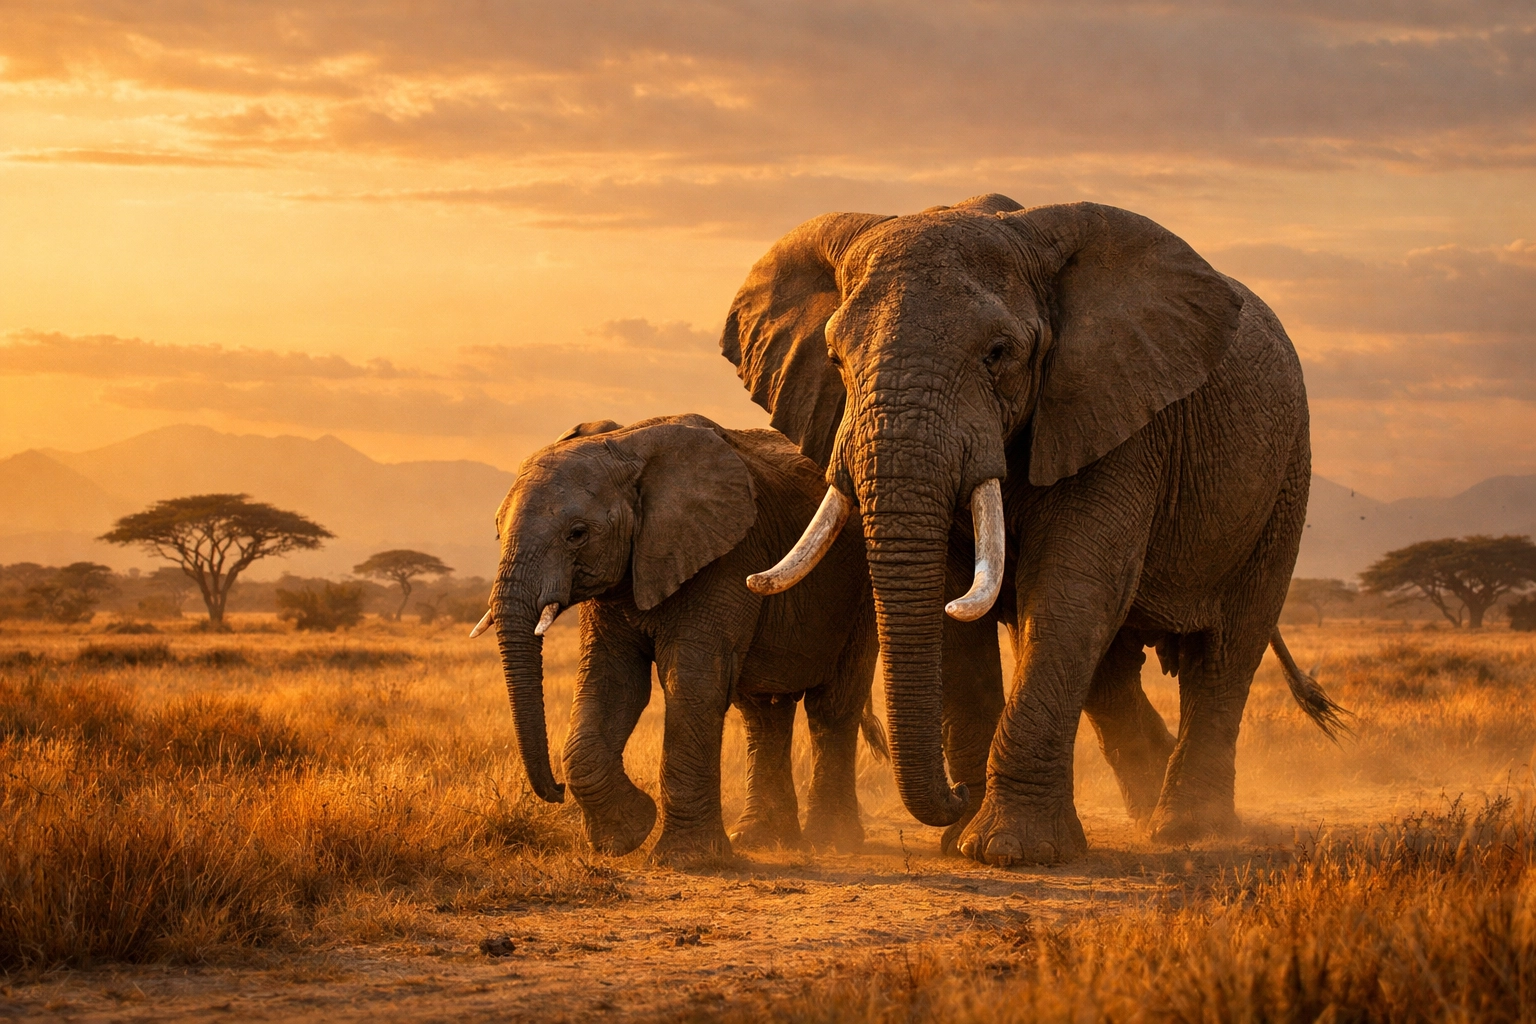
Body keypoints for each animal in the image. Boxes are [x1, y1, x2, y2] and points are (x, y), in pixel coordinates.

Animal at [470, 414, 886, 864]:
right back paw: (763, 839)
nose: (555, 791)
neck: (627, 445)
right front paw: (626, 834)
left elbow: (692, 679)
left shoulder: (730, 554)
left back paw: (833, 841)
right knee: (763, 712)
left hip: (860, 594)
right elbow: (613, 681)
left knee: (833, 706)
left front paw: (688, 859)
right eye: (496, 530)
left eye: (577, 534)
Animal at [720, 194, 1345, 866]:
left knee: (1225, 651)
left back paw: (1187, 829)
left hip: (1285, 477)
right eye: (835, 357)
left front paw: (1006, 849)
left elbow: (1072, 588)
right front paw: (961, 841)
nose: (955, 793)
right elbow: (956, 600)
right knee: (1111, 674)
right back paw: (1148, 806)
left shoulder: (1117, 412)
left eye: (999, 352)